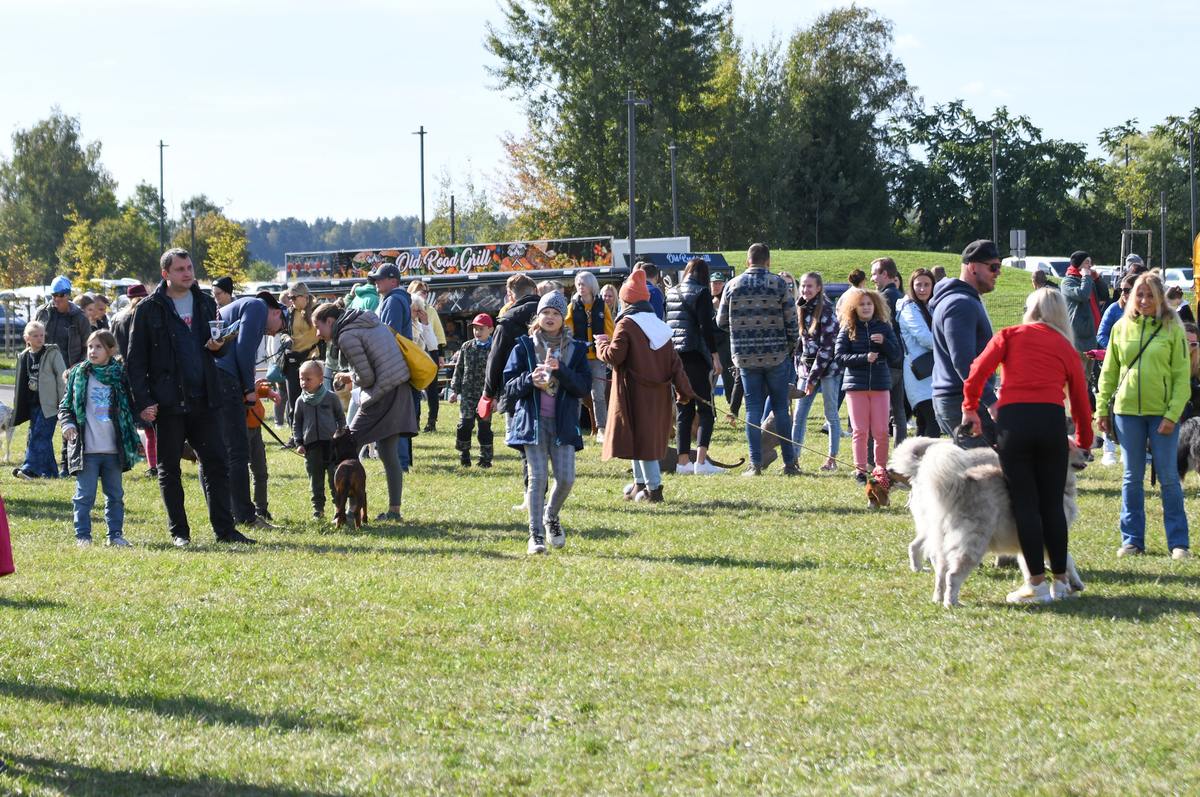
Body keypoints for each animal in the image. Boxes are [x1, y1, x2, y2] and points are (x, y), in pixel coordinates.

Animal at [897, 432, 1094, 607]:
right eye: (1069, 447)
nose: (1086, 453)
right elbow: (1066, 558)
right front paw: (1071, 585)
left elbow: (1036, 564)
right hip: (972, 544)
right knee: (952, 575)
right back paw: (952, 602)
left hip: (939, 541)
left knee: (938, 571)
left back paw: (937, 596)